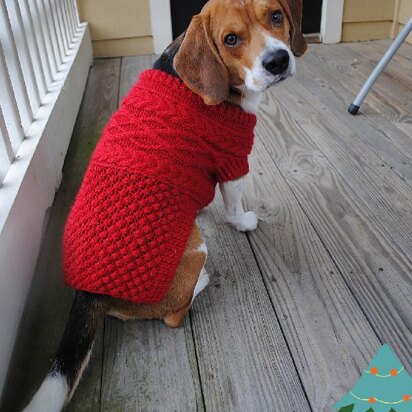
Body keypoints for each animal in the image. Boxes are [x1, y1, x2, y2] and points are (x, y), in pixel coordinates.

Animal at [23, 1, 306, 410]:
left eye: (276, 16)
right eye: (230, 39)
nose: (278, 60)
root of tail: (89, 291)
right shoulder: (233, 160)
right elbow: (234, 205)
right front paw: (243, 222)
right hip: (195, 247)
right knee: (174, 314)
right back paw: (201, 281)